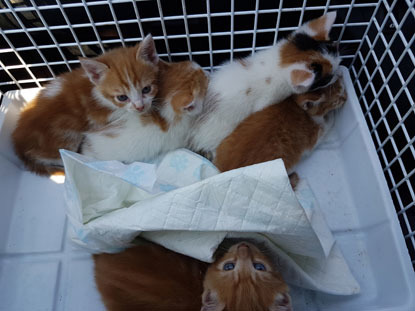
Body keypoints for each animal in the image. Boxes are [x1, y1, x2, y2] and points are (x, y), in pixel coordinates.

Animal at [11, 34, 161, 176]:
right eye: (122, 97)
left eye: (146, 89)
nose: (140, 107)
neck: (96, 90)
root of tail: (19, 147)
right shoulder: (102, 117)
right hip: (65, 139)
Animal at [214, 76, 348, 173]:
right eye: (337, 100)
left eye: (341, 85)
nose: (346, 97)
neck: (294, 104)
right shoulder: (315, 136)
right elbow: (327, 124)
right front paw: (332, 116)